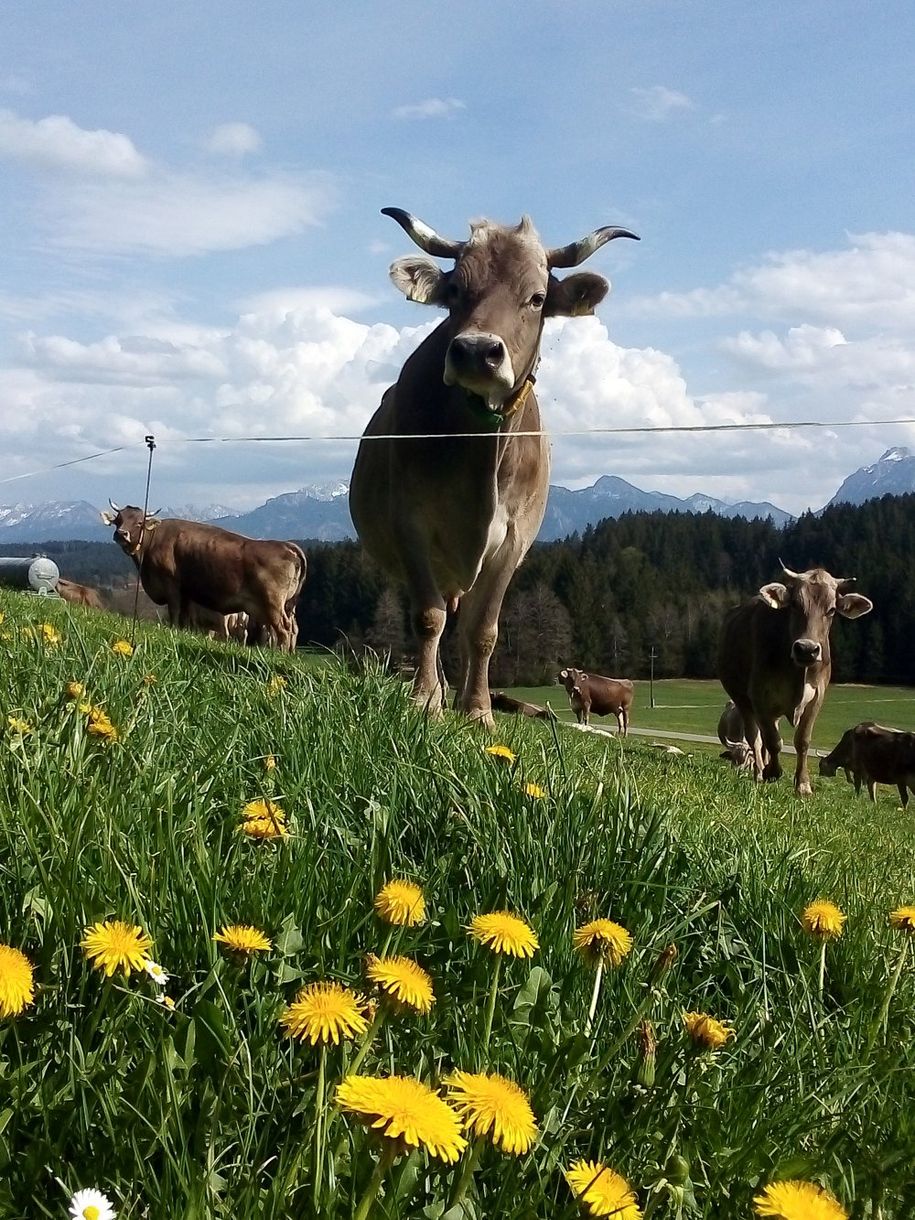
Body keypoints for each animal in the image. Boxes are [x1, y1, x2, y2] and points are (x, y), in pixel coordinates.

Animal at [100, 500, 306, 653]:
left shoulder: (171, 584)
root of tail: (286, 545)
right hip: (286, 606)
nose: (121, 534)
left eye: (139, 522)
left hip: (272, 604)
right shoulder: (187, 592)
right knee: (289, 629)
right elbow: (186, 616)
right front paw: (183, 633)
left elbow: (174, 611)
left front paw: (172, 630)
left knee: (283, 630)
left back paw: (279, 653)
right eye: (118, 519)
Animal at [346, 204, 639, 727]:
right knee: (438, 613)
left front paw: (479, 709)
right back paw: (438, 690)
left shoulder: (514, 539)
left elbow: (483, 630)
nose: (476, 351)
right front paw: (425, 701)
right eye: (456, 291)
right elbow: (428, 617)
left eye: (537, 297)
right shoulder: (410, 523)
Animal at [717, 563, 873, 795]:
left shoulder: (817, 697)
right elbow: (772, 741)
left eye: (831, 610)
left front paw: (803, 785)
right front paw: (772, 772)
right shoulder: (760, 695)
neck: (798, 673)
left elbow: (802, 741)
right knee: (755, 738)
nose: (807, 649)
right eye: (795, 605)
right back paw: (759, 773)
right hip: (742, 701)